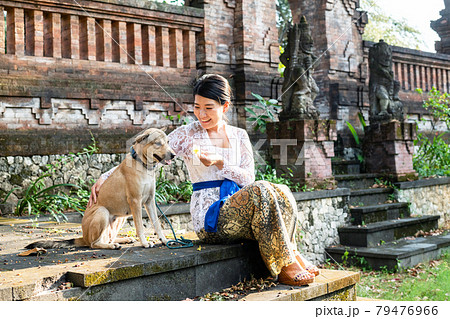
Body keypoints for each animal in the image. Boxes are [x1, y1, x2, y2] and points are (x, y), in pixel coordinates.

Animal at [25, 129, 174, 251]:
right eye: (158, 143)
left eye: (168, 142)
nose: (173, 155)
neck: (142, 165)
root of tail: (83, 237)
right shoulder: (136, 202)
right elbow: (140, 227)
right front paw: (144, 243)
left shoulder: (150, 201)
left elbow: (157, 224)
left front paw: (164, 240)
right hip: (102, 212)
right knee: (94, 244)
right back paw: (112, 246)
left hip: (121, 217)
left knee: (107, 238)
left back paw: (122, 240)